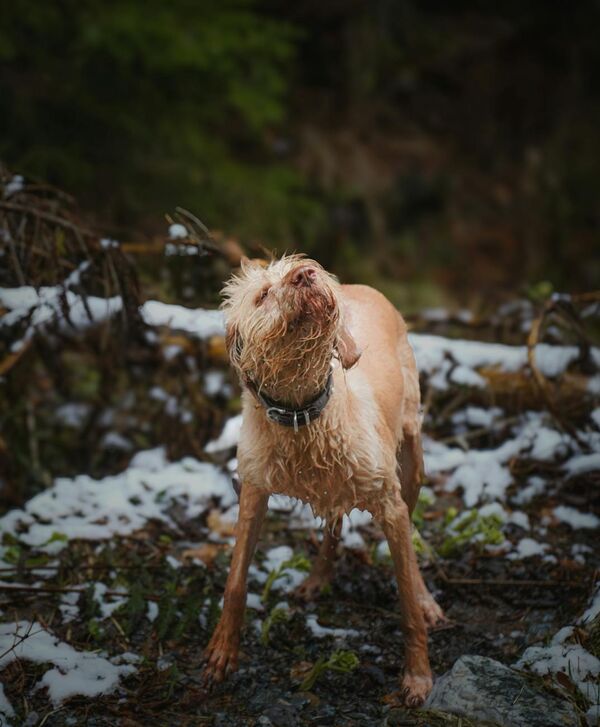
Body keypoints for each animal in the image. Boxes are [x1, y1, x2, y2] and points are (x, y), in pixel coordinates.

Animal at [204, 255, 442, 704]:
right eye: (263, 295)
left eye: (300, 269)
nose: (305, 273)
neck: (303, 416)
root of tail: (365, 286)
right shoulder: (253, 493)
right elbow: (235, 583)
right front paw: (223, 652)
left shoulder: (390, 505)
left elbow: (404, 599)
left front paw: (418, 675)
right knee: (333, 523)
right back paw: (318, 578)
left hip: (411, 462)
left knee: (410, 536)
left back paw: (426, 600)